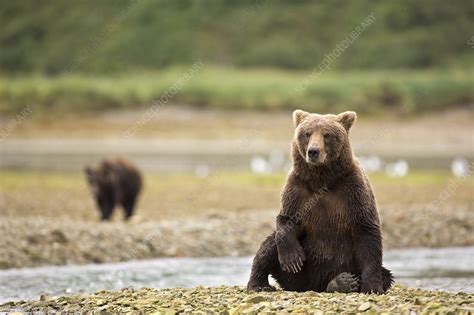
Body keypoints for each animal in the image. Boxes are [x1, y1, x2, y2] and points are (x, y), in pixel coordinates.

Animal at [248, 110, 392, 296]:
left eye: (327, 134)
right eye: (307, 133)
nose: (313, 151)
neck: (321, 179)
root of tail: (313, 286)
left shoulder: (353, 189)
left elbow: (366, 230)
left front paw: (372, 287)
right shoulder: (297, 188)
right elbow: (286, 219)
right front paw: (292, 258)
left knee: (386, 274)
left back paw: (341, 282)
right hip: (296, 276)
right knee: (270, 245)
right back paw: (259, 284)